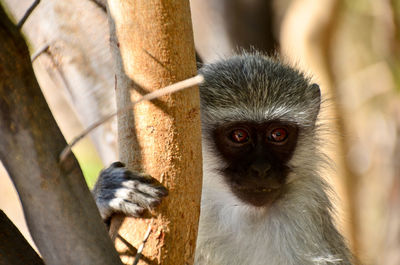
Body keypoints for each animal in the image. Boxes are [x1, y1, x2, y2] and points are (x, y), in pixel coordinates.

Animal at [93, 52, 354, 264]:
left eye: (278, 134)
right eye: (239, 135)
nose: (261, 169)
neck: (246, 215)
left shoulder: (306, 213)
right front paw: (108, 192)